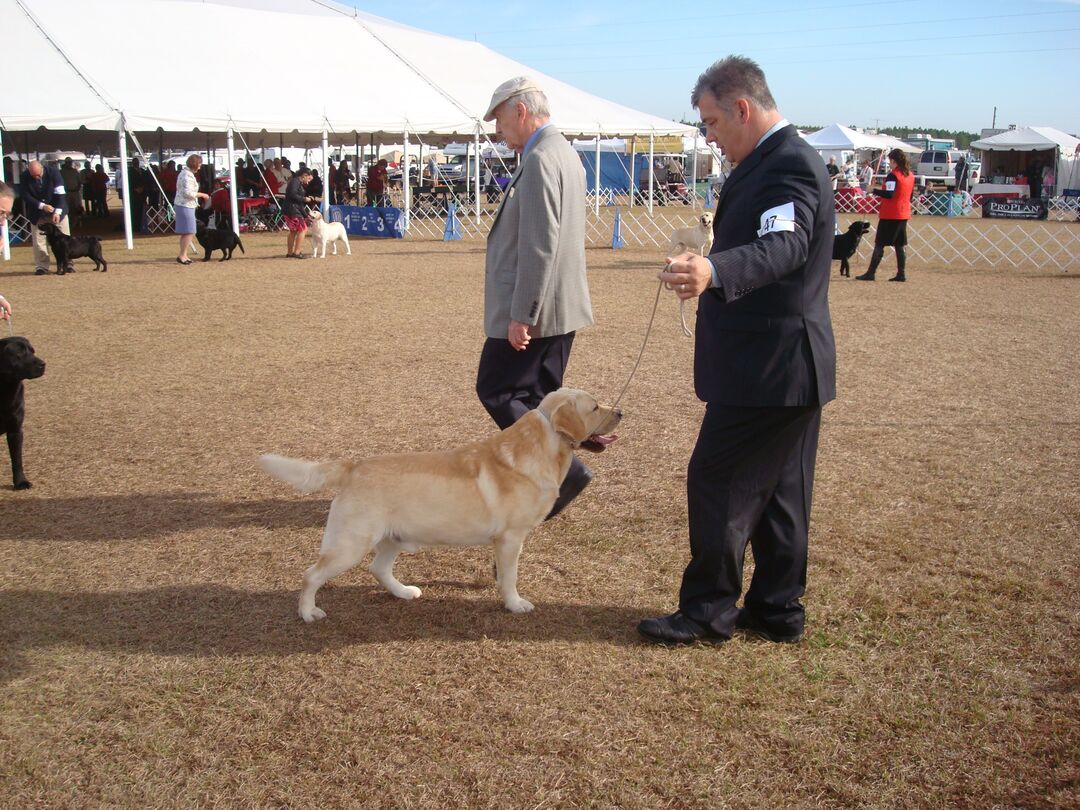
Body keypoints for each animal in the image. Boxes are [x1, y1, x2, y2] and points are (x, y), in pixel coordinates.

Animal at [0, 336, 46, 488]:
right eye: (19, 353)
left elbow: (17, 460)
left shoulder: (15, 430)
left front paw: (21, 482)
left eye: (32, 351)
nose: (43, 364)